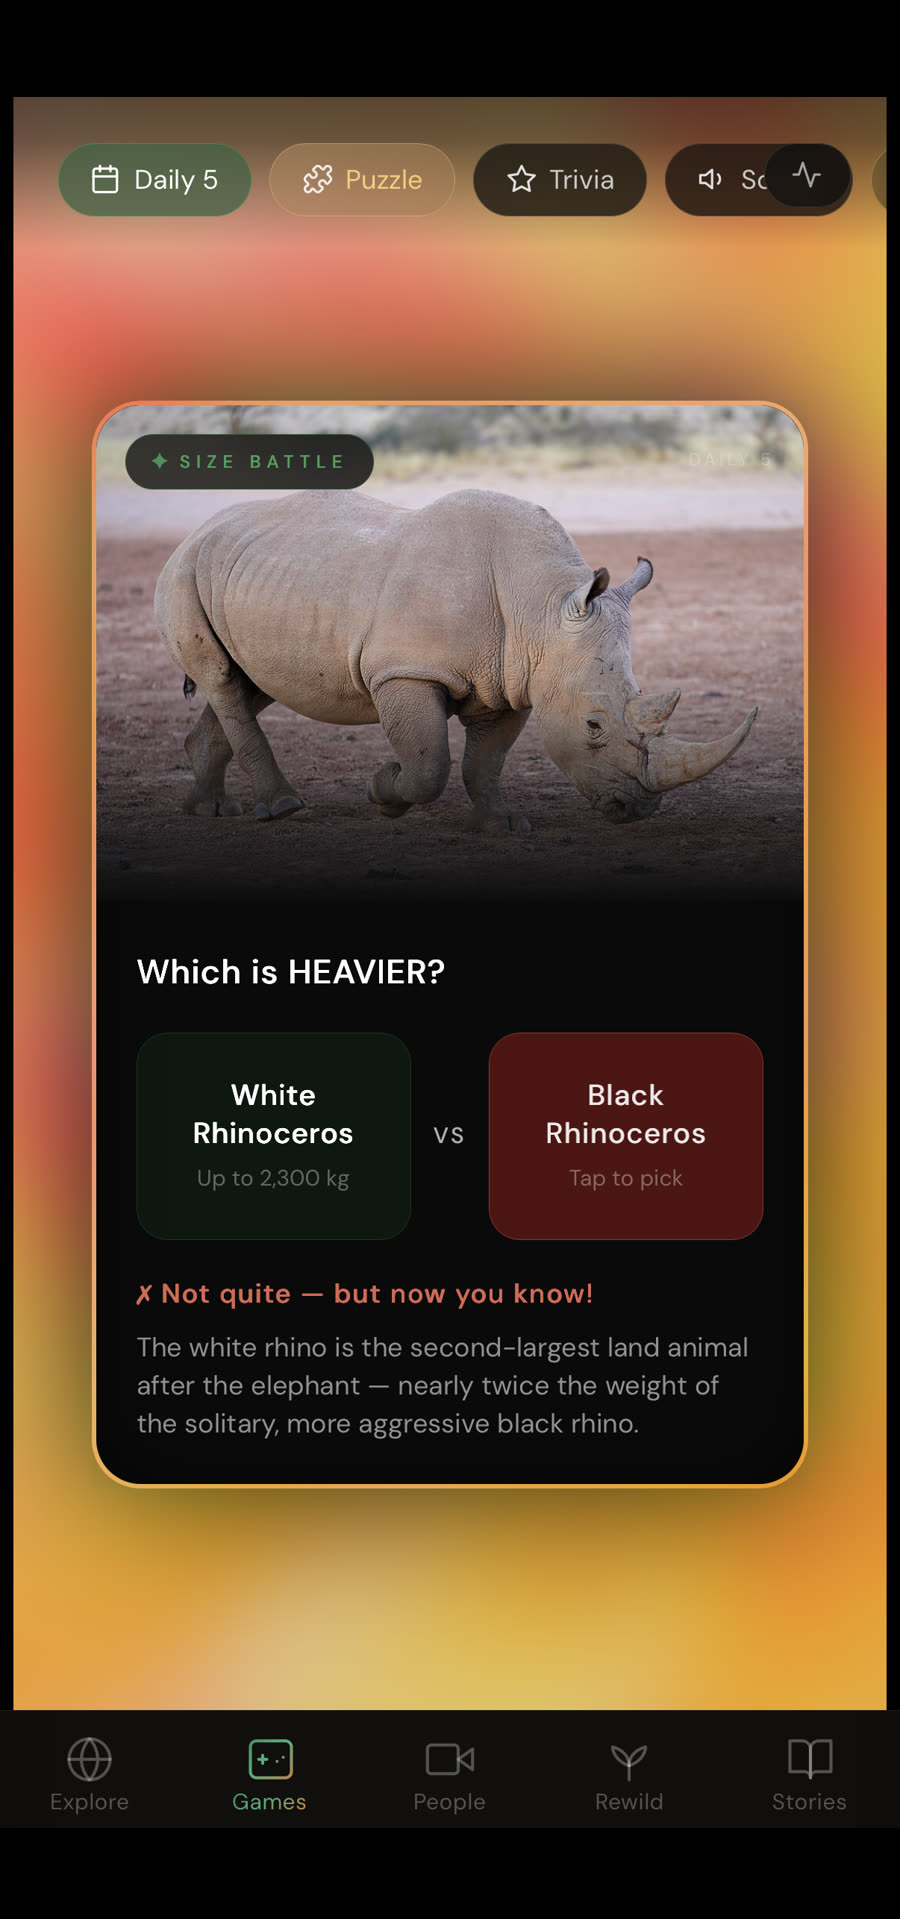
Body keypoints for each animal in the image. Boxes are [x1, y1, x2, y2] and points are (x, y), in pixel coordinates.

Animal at [154, 488, 757, 830]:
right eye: (593, 725)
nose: (637, 811)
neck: (540, 606)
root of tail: (196, 531)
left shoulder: (514, 680)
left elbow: (484, 761)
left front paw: (501, 824)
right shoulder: (405, 671)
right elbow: (430, 766)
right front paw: (384, 790)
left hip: (257, 578)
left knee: (249, 684)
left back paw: (210, 811)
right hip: (184, 571)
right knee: (223, 680)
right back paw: (281, 810)